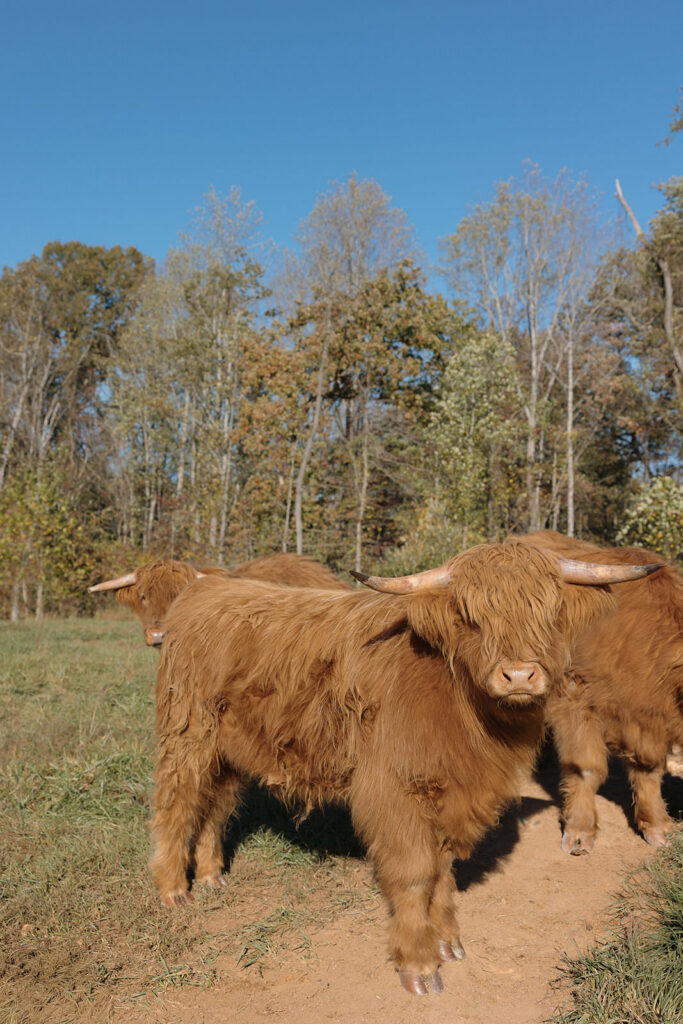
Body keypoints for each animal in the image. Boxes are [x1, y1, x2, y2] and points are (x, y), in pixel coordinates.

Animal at [149, 540, 660, 995]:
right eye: (471, 618)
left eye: (550, 613)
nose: (518, 675)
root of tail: (207, 589)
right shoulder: (395, 790)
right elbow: (416, 873)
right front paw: (419, 964)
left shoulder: (452, 791)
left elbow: (443, 869)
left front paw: (449, 940)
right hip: (188, 733)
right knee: (178, 803)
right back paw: (174, 889)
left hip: (231, 750)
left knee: (216, 805)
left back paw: (211, 875)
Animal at [521, 530, 682, 853]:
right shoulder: (574, 695)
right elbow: (586, 767)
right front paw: (580, 831)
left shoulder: (649, 721)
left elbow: (649, 771)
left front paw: (656, 825)